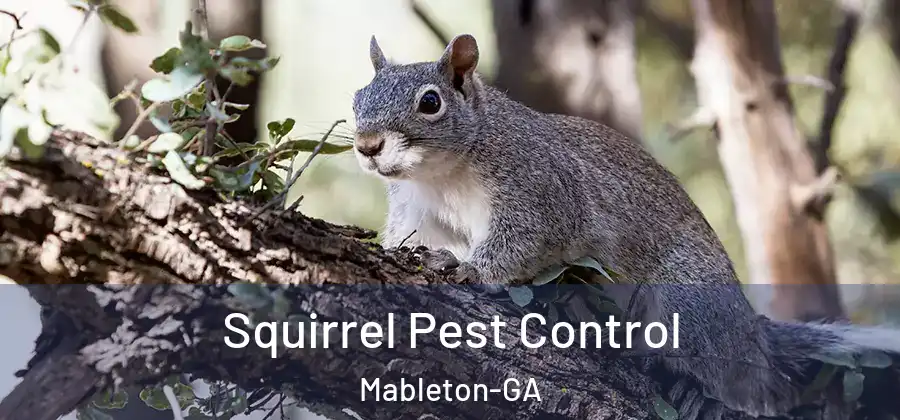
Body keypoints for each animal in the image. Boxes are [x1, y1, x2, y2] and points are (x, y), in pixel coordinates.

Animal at [351, 34, 900, 419]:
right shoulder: (419, 211)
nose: (366, 145)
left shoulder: (542, 191)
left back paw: (702, 391)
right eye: (358, 96)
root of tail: (750, 332)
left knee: (746, 384)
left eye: (430, 103)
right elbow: (411, 238)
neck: (442, 173)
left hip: (690, 303)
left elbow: (523, 242)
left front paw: (469, 269)